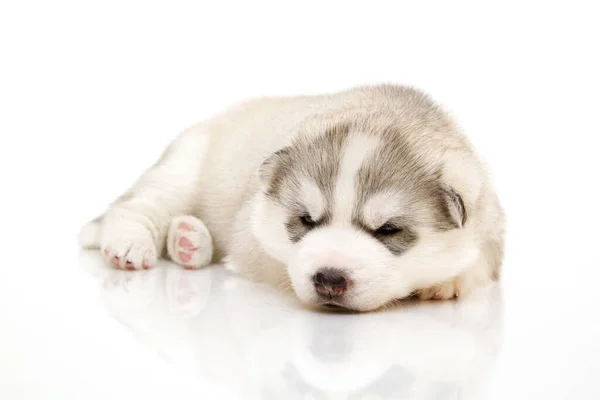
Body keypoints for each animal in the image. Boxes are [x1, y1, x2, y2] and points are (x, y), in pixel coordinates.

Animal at [77, 83, 504, 310]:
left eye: (387, 230)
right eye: (306, 221)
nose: (330, 279)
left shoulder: (490, 223)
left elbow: (480, 261)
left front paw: (448, 279)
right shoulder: (251, 232)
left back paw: (188, 241)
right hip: (182, 169)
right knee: (135, 206)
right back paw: (132, 244)